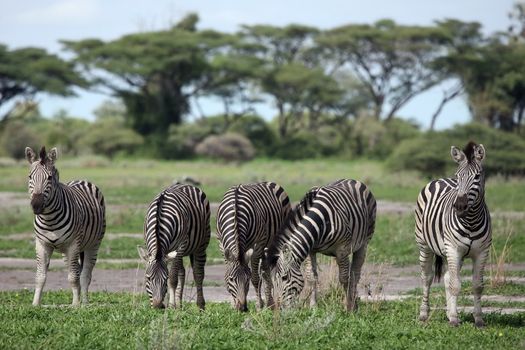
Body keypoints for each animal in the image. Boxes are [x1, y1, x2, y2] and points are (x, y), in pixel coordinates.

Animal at [24, 146, 105, 304]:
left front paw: (75, 305)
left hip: (93, 244)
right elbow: (40, 277)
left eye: (49, 178)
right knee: (77, 270)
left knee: (85, 274)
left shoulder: (73, 244)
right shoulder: (42, 244)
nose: (36, 205)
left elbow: (73, 277)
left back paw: (84, 303)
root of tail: (81, 180)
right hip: (66, 252)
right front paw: (35, 304)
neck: (50, 219)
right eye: (30, 177)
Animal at [216, 182, 290, 310]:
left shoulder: (258, 245)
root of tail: (268, 182)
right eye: (231, 279)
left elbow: (255, 278)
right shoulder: (221, 244)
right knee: (265, 269)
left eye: (247, 279)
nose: (242, 308)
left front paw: (259, 306)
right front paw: (233, 304)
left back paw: (269, 303)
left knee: (266, 270)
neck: (235, 211)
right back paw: (270, 303)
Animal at [264, 179, 374, 310]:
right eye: (272, 280)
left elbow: (344, 279)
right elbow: (311, 277)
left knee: (355, 273)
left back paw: (353, 304)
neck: (320, 222)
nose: (278, 309)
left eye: (284, 277)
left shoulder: (342, 250)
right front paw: (313, 307)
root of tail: (351, 180)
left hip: (364, 242)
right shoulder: (310, 250)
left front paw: (348, 307)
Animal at [414, 142, 492, 328]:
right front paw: (455, 320)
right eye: (458, 176)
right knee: (427, 278)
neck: (471, 221)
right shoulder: (454, 249)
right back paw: (424, 314)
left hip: (452, 253)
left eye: (477, 176)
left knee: (447, 277)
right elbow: (455, 285)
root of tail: (440, 179)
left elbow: (477, 285)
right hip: (425, 246)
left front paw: (478, 319)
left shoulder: (482, 252)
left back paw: (449, 313)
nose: (460, 206)